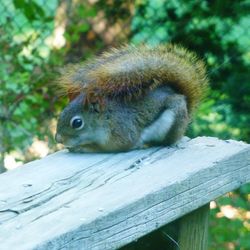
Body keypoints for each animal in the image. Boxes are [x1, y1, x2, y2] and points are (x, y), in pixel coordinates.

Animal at [55, 44, 208, 152]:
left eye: (77, 123)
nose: (58, 139)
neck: (106, 118)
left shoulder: (122, 132)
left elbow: (111, 147)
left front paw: (83, 147)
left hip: (172, 121)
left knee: (168, 140)